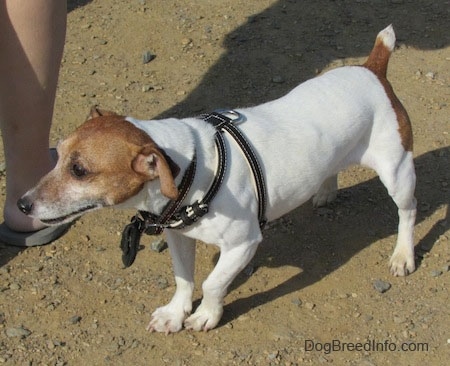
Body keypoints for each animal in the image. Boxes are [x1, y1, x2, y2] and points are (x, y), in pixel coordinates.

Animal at [18, 25, 418, 334]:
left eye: (79, 170)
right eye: (57, 154)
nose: (22, 203)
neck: (191, 168)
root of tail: (373, 69)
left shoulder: (243, 243)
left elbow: (212, 284)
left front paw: (206, 315)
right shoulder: (178, 237)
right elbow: (184, 279)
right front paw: (174, 314)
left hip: (397, 172)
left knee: (408, 213)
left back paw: (403, 255)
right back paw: (325, 191)